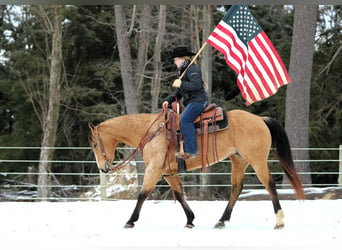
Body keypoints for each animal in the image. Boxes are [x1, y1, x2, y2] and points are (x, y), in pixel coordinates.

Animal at [89, 107, 304, 229]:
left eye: (94, 144)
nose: (103, 168)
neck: (151, 132)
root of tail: (260, 119)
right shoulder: (168, 172)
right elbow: (179, 193)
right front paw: (190, 220)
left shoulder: (154, 170)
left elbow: (143, 194)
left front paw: (130, 220)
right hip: (239, 161)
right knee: (236, 188)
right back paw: (221, 220)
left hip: (257, 160)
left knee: (269, 184)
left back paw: (279, 220)